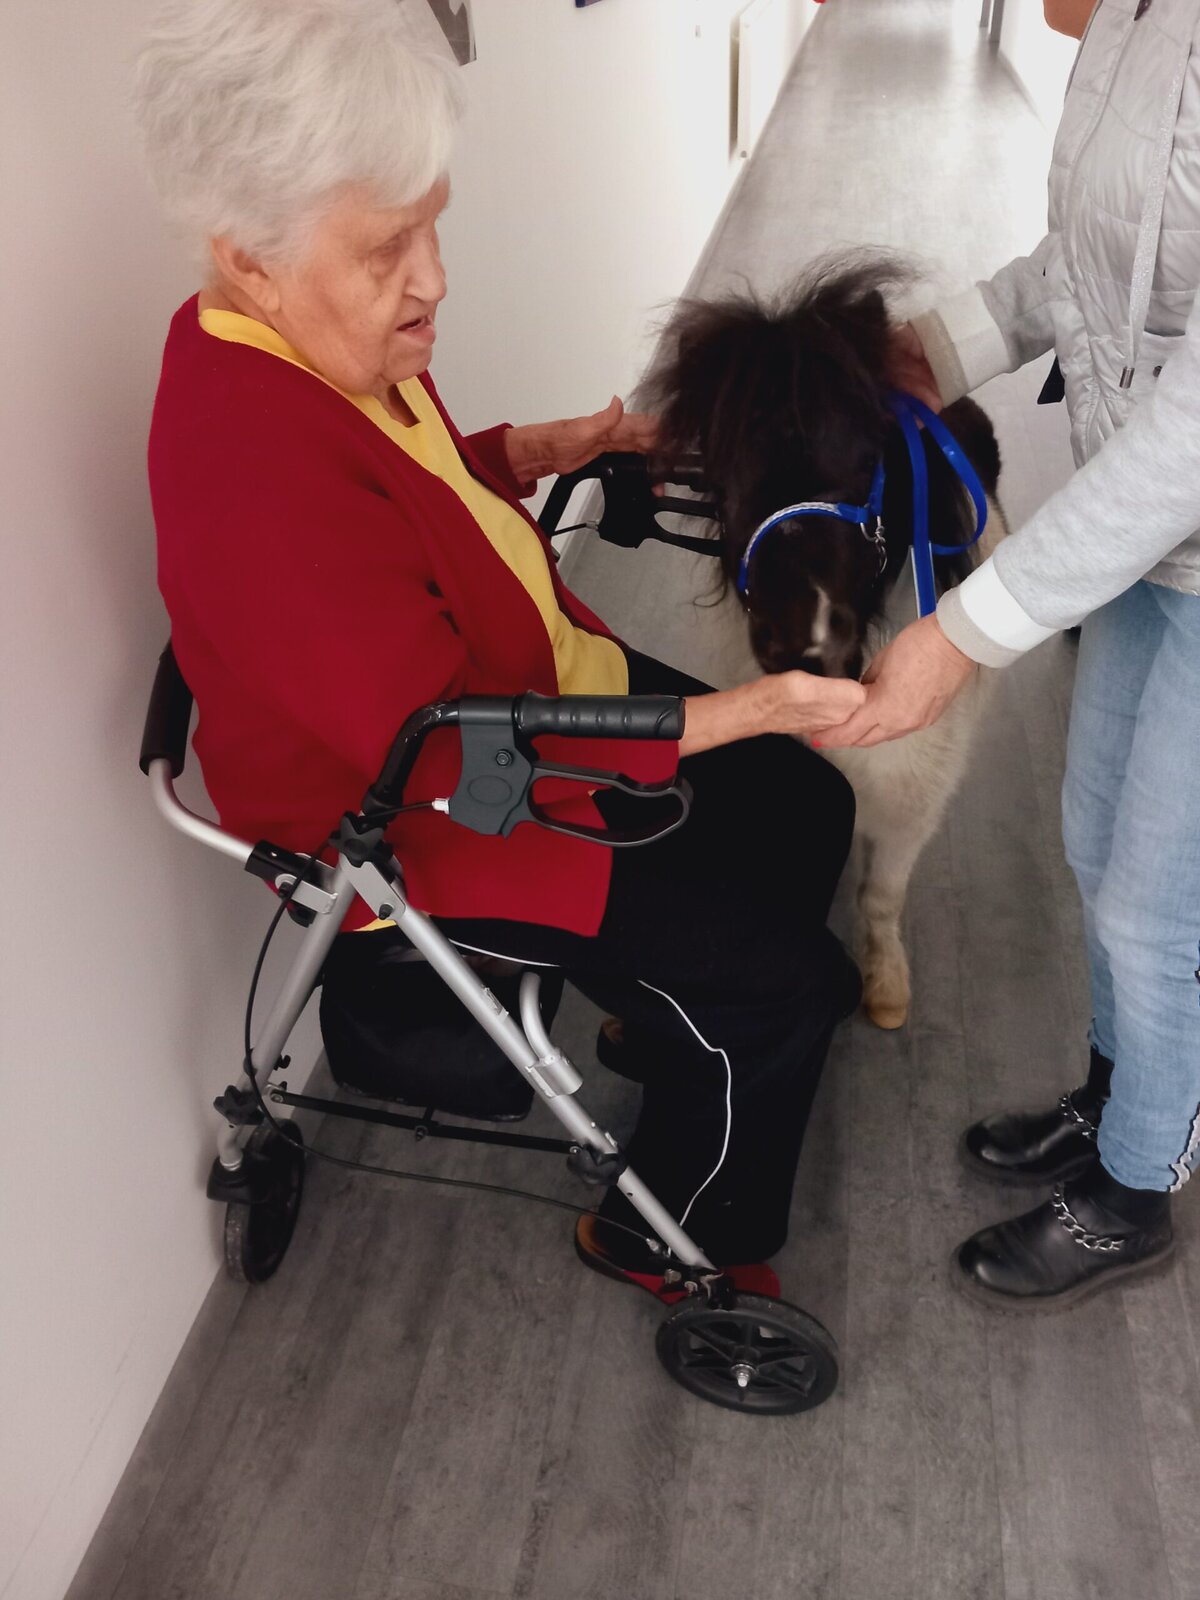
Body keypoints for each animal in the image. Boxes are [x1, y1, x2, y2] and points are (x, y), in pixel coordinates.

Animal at [649, 255, 1009, 1028]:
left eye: (867, 461)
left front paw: (886, 985)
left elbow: (881, 895)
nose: (804, 642)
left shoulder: (910, 810)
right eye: (719, 478)